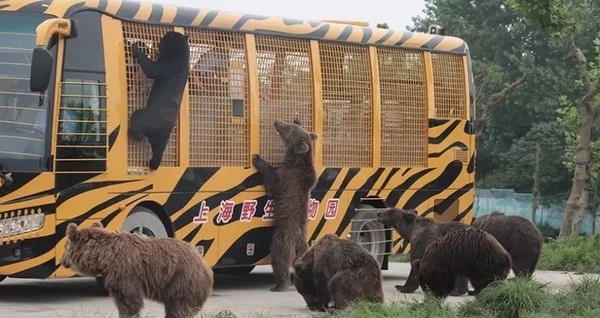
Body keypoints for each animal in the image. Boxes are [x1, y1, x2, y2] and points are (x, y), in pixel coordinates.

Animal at [61, 222, 213, 318]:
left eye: (65, 245)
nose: (63, 261)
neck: (105, 256)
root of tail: (204, 264)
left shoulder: (125, 272)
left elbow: (128, 301)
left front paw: (127, 314)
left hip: (182, 280)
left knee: (179, 309)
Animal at [131, 32, 190, 170]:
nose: (165, 34)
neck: (180, 54)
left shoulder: (165, 67)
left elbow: (151, 68)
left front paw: (136, 47)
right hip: (163, 140)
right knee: (158, 151)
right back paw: (152, 164)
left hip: (144, 117)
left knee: (137, 123)